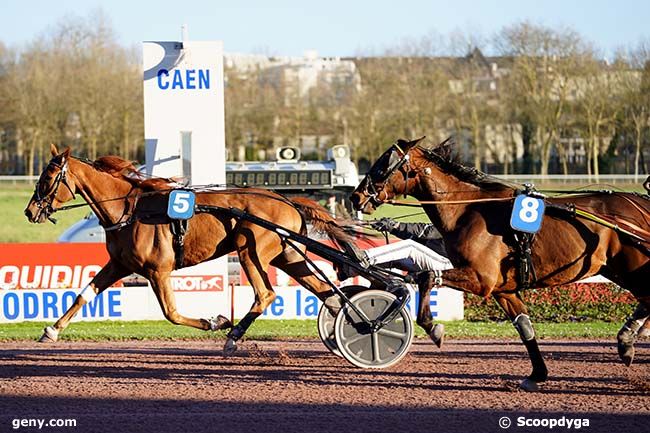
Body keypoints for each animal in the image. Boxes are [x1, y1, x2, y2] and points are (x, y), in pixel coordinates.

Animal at [24, 143, 350, 352]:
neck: (130, 210)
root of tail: (287, 200)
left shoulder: (158, 270)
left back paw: (233, 335)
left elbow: (171, 312)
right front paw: (51, 330)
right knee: (326, 293)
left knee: (266, 295)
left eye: (48, 178)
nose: (29, 211)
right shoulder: (119, 265)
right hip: (288, 255)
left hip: (250, 251)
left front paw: (215, 321)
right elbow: (84, 294)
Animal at [352, 137, 648, 390]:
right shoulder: (503, 289)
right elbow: (524, 327)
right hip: (617, 270)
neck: (467, 209)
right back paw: (627, 340)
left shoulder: (482, 279)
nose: (356, 196)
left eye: (383, 164)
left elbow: (426, 275)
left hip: (632, 268)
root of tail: (639, 203)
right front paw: (537, 375)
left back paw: (627, 341)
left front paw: (434, 328)